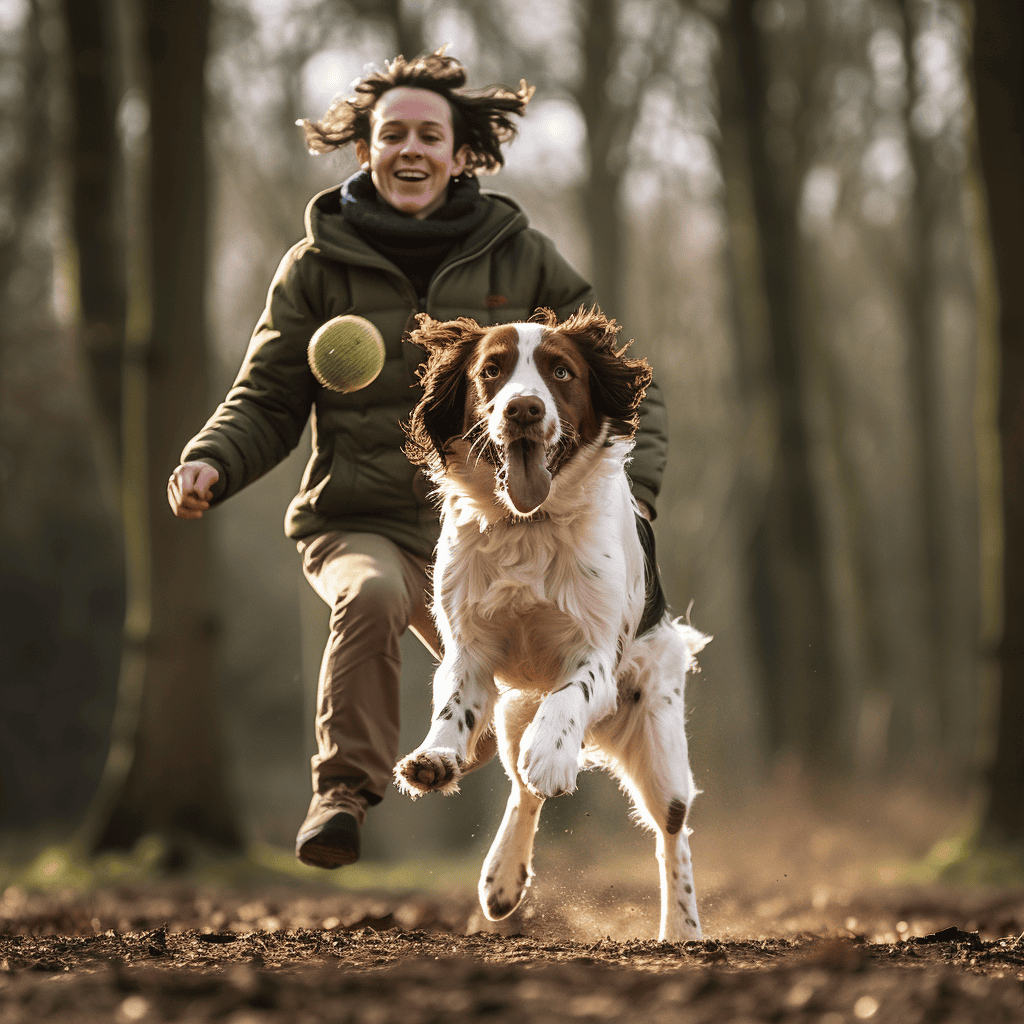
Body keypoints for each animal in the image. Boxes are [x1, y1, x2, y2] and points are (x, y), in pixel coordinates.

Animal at [395, 307, 708, 937]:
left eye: (561, 371)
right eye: (490, 371)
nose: (523, 409)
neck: (528, 524)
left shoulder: (596, 654)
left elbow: (569, 697)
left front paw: (552, 754)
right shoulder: (469, 649)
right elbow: (454, 707)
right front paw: (435, 758)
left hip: (659, 732)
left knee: (672, 832)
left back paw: (682, 930)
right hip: (515, 710)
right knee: (522, 790)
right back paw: (502, 880)